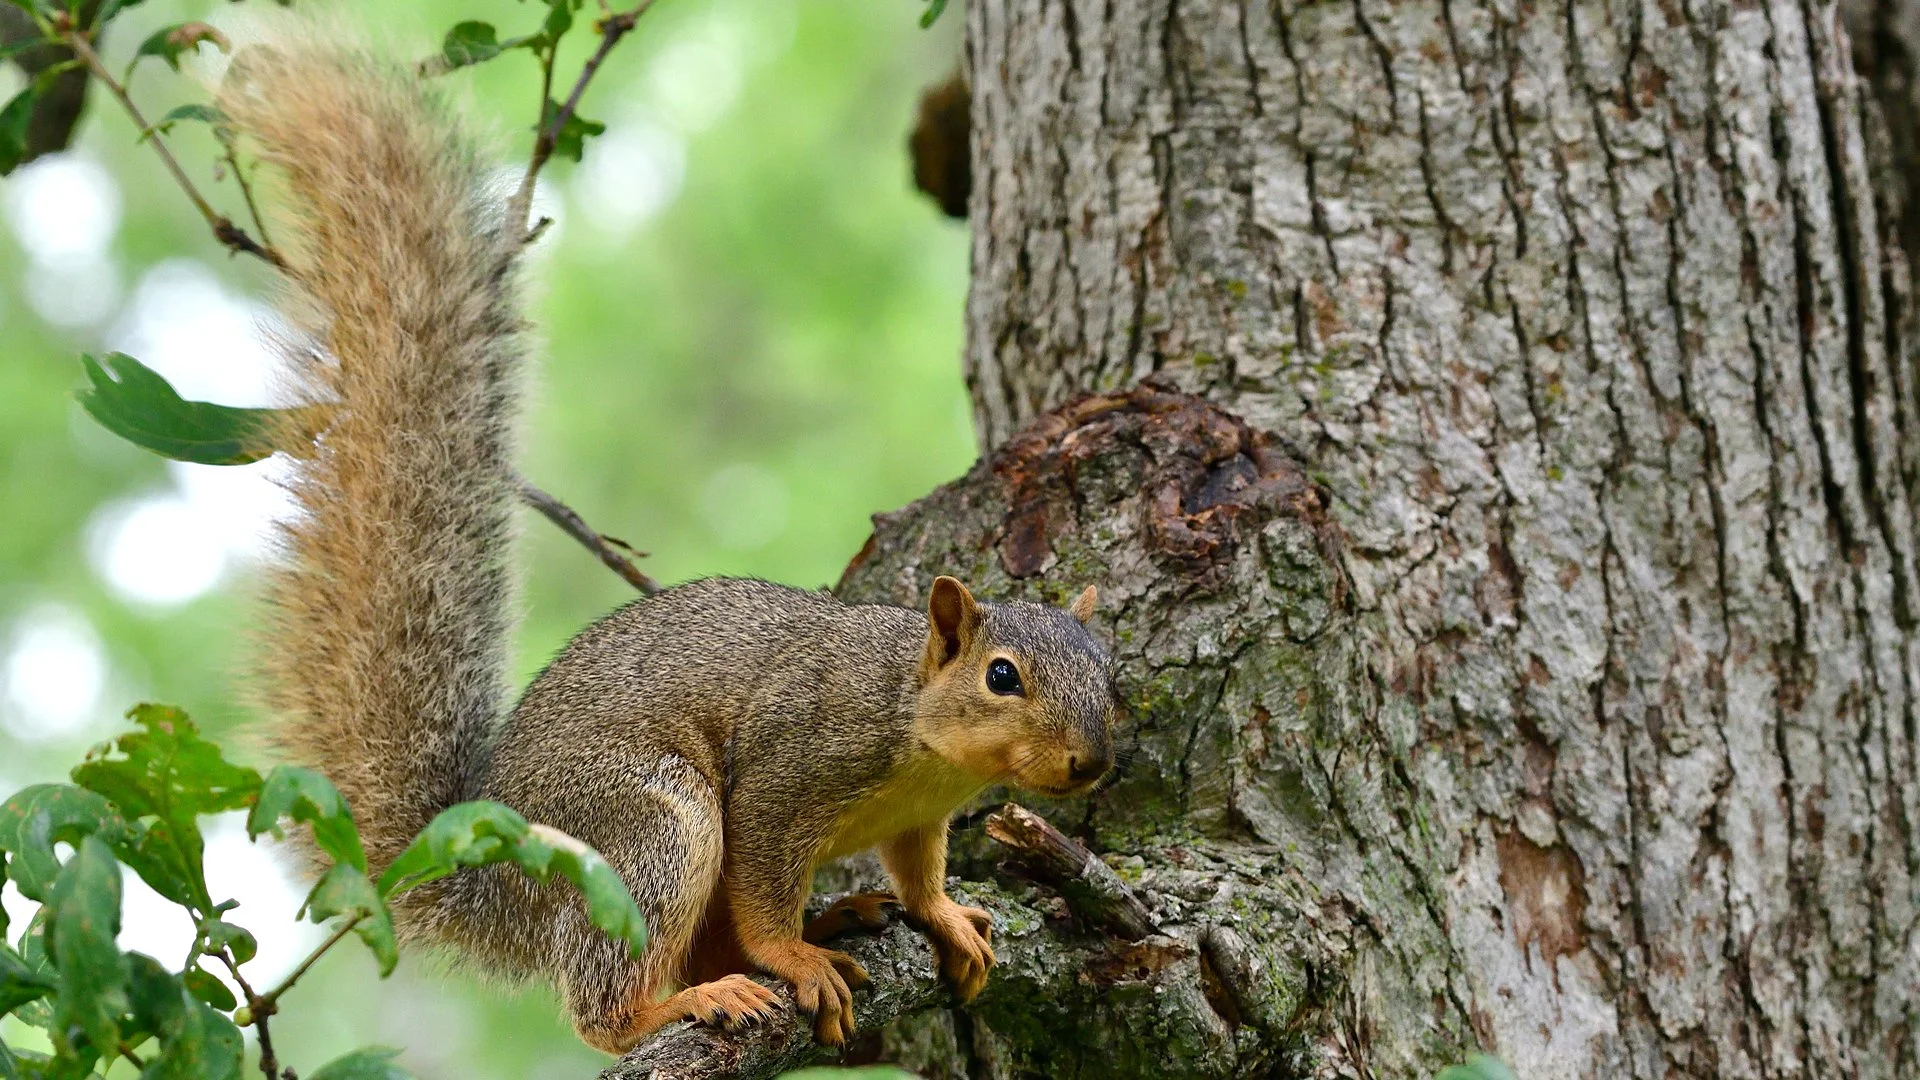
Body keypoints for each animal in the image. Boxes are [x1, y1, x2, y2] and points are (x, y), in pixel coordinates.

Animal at [223, 34, 1118, 1055]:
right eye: (1002, 676)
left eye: (1112, 674)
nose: (1091, 763)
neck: (918, 731)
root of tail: (491, 879)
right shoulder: (790, 769)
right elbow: (764, 878)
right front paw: (793, 956)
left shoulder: (920, 820)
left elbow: (921, 875)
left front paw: (942, 920)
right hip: (649, 826)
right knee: (610, 1006)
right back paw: (696, 997)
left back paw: (830, 919)